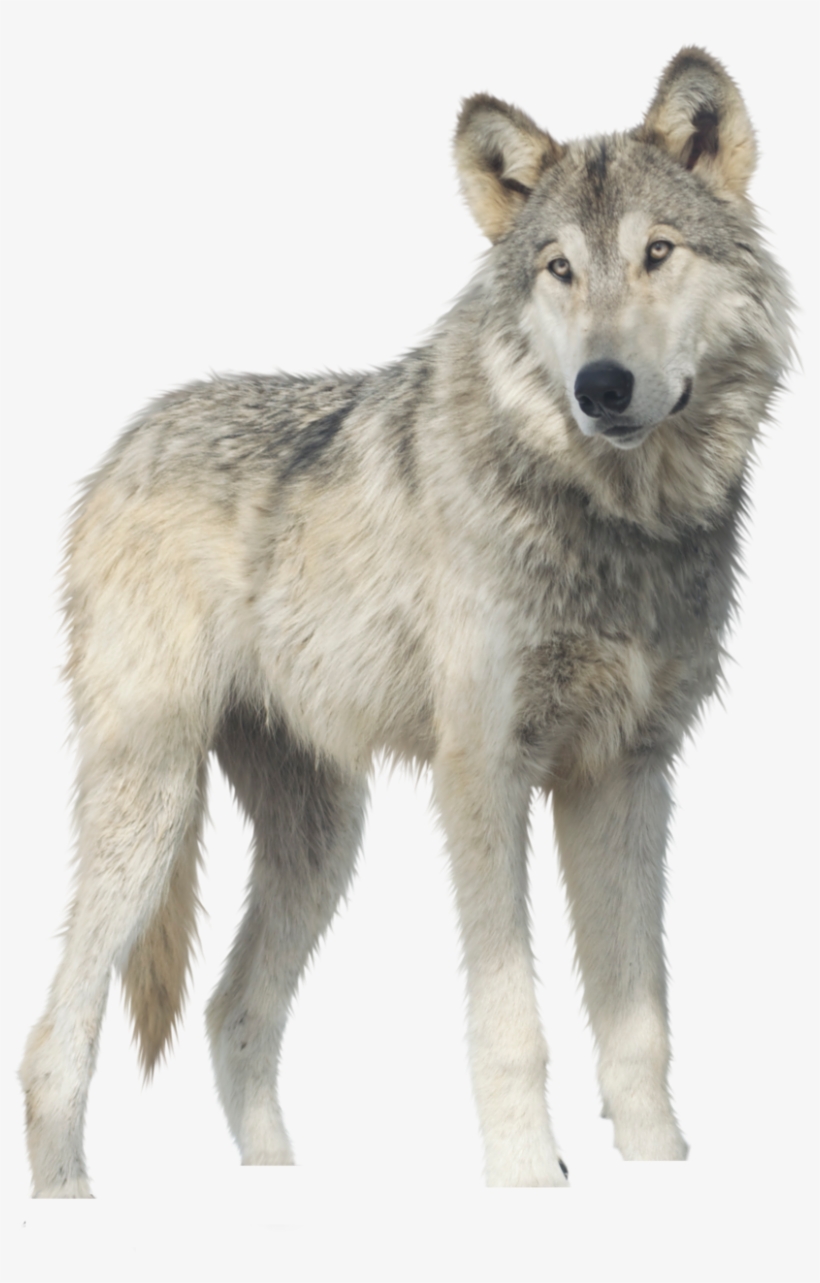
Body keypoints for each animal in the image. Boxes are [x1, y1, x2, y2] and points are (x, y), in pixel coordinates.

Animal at [21, 48, 792, 1195]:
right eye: (559, 269)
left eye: (657, 253)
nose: (601, 386)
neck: (609, 520)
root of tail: (126, 440)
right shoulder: (485, 769)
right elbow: (511, 1020)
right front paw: (528, 1177)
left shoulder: (624, 776)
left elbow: (638, 1027)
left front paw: (657, 1169)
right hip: (151, 808)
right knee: (54, 1040)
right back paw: (67, 1194)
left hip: (323, 837)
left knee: (233, 1010)